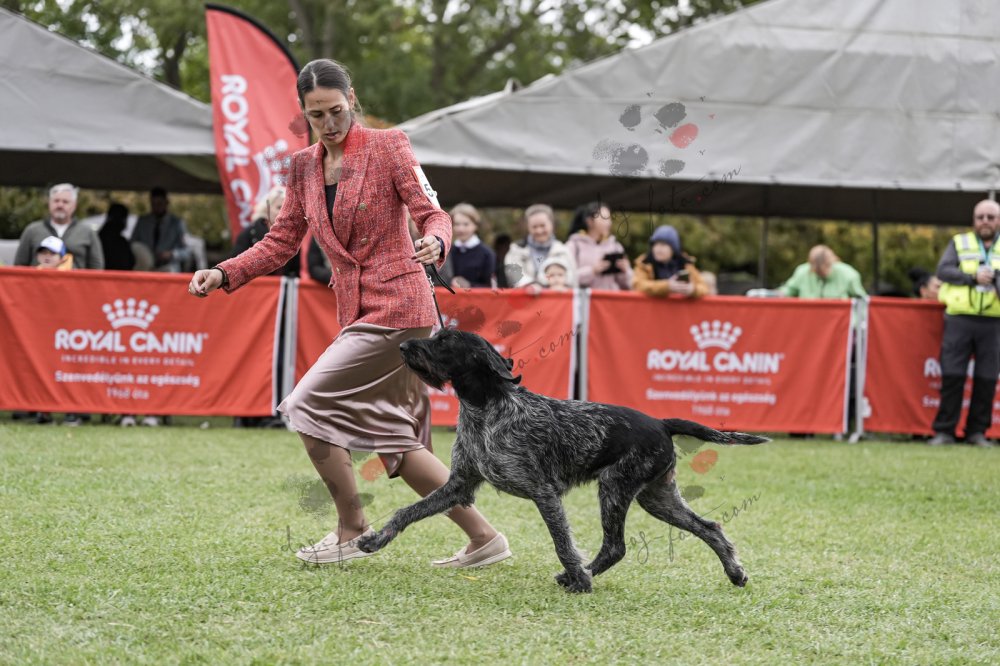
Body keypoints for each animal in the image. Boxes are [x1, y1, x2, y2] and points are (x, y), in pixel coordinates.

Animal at [357, 328, 769, 593]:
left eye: (445, 342)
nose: (404, 345)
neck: (487, 408)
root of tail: (661, 423)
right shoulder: (459, 486)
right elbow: (407, 512)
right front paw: (377, 539)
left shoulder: (544, 492)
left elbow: (561, 543)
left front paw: (579, 578)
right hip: (657, 498)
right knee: (710, 528)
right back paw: (734, 572)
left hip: (615, 489)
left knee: (616, 546)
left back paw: (582, 576)